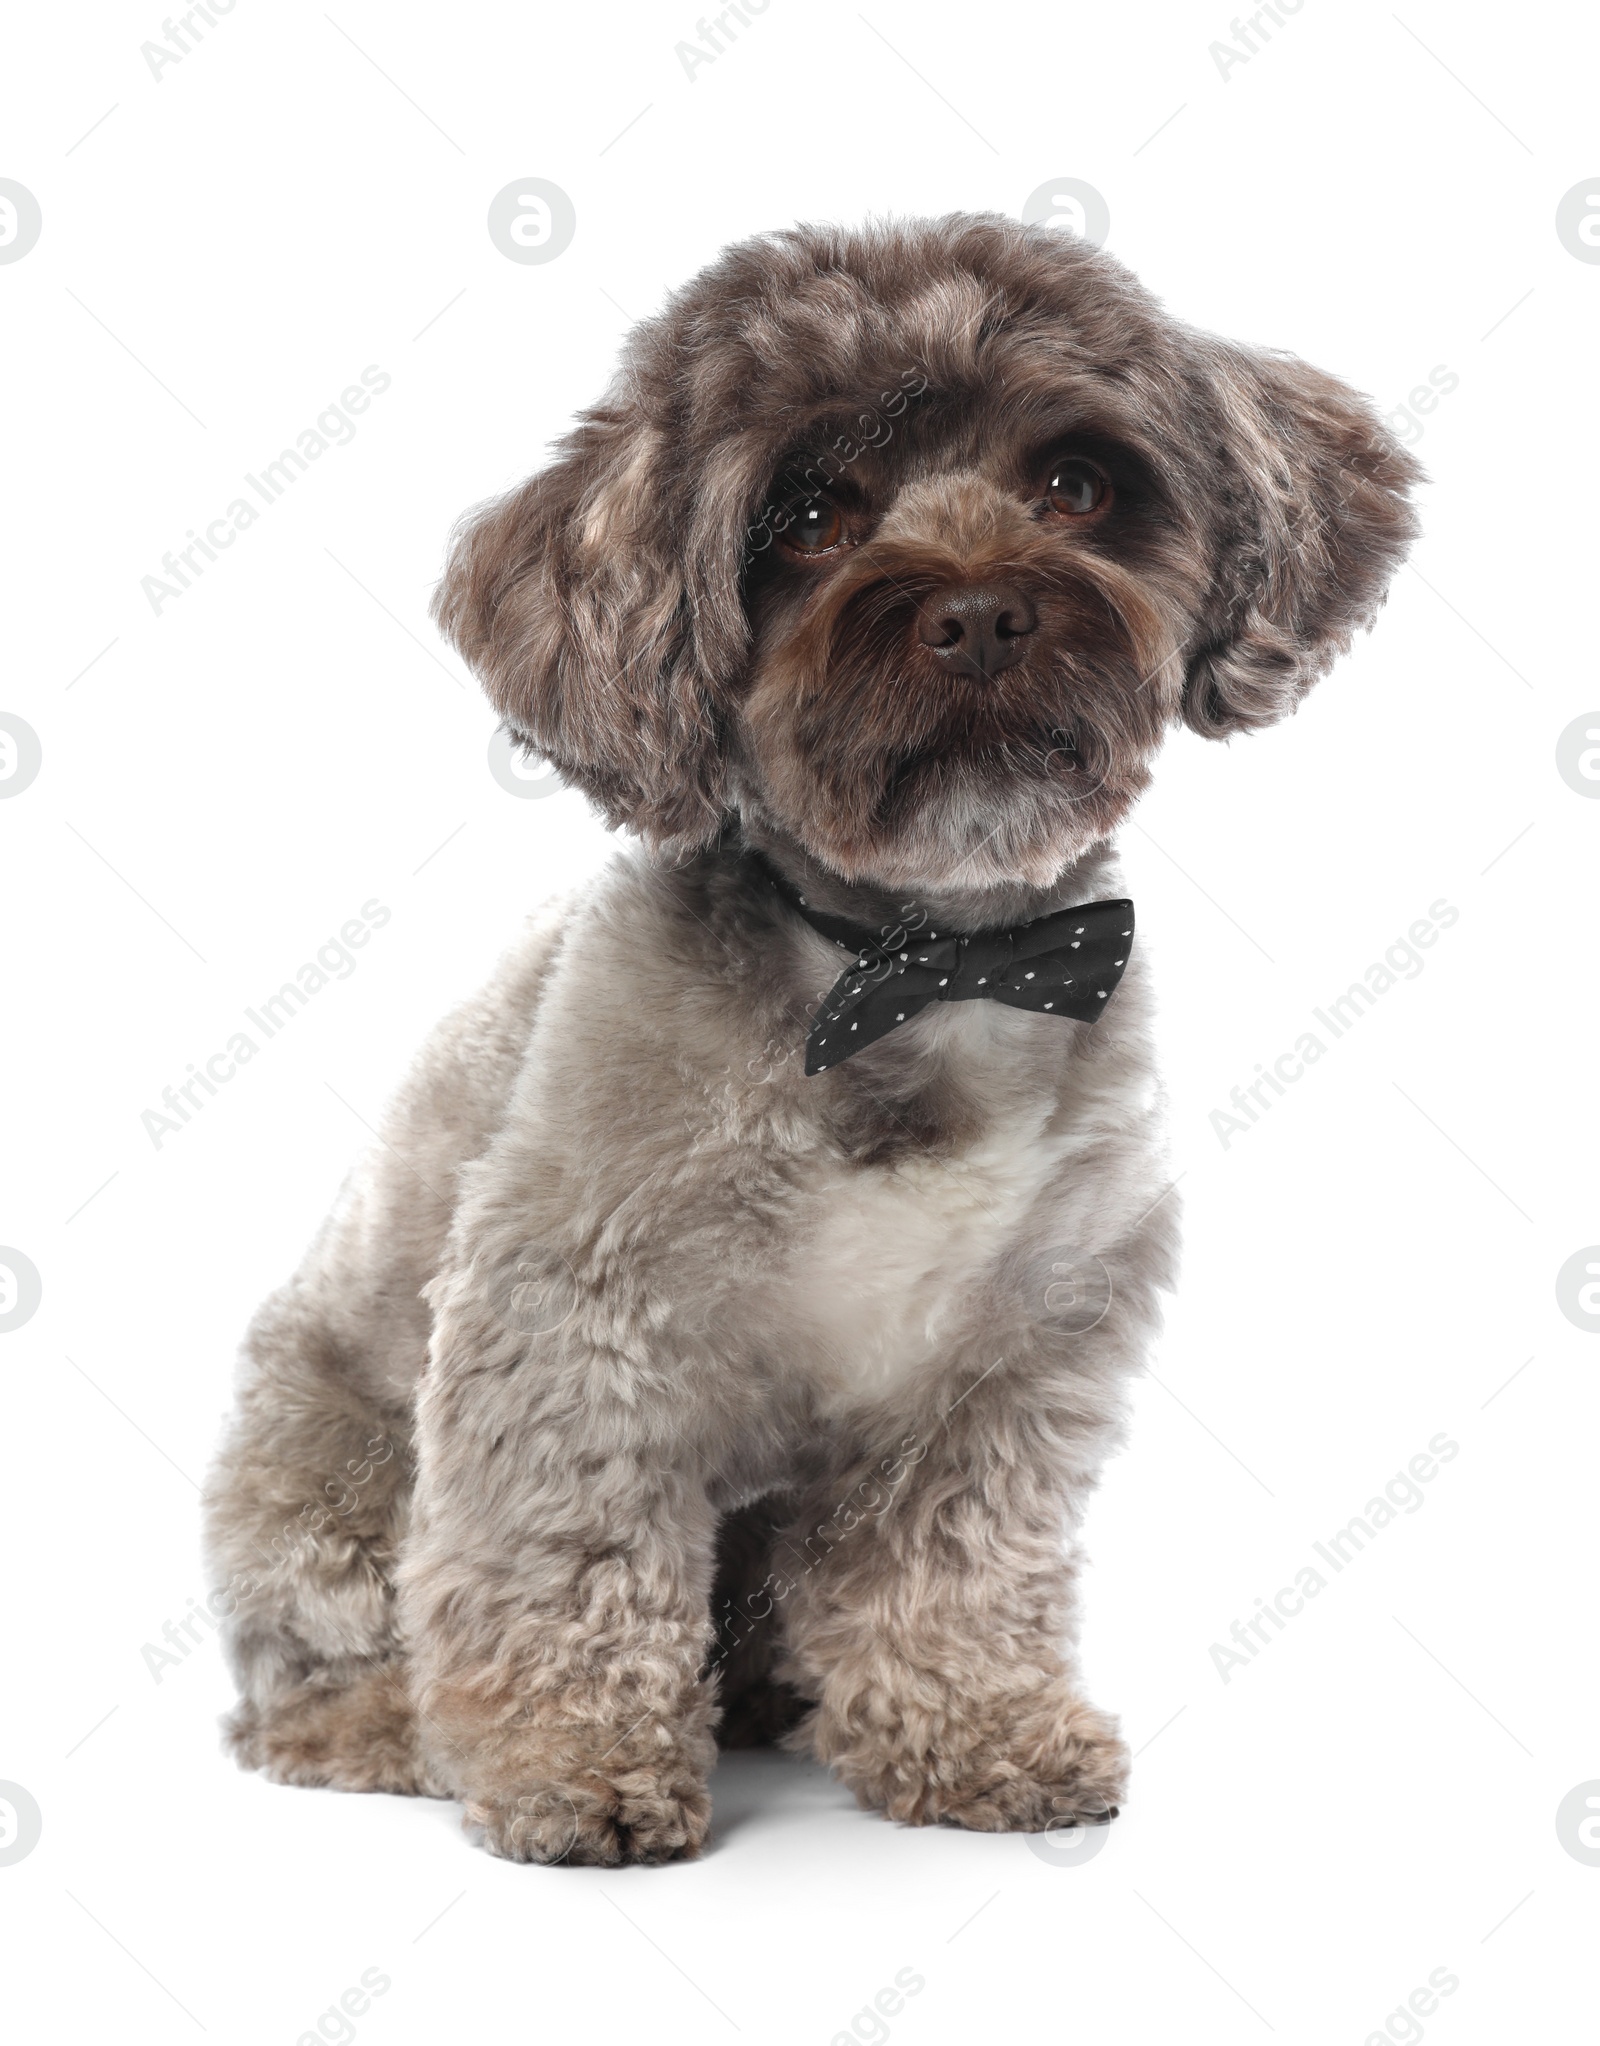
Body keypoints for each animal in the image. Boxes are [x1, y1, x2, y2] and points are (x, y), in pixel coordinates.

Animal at [203, 215, 1432, 1865]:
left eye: (1075, 483)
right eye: (803, 512)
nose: (976, 609)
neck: (915, 962)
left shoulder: (999, 1362)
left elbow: (952, 1570)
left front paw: (974, 1733)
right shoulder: (576, 1327)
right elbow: (565, 1555)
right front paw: (575, 1762)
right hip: (318, 1489)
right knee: (312, 1672)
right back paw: (393, 1731)